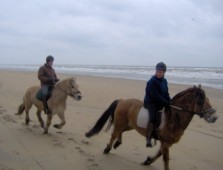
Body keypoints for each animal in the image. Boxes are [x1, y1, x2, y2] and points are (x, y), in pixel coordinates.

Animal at [86, 85, 218, 170]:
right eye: (201, 101)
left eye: (207, 99)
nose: (215, 117)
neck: (174, 117)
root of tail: (122, 100)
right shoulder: (165, 142)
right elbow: (165, 159)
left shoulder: (167, 143)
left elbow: (160, 154)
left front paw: (148, 161)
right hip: (120, 123)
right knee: (114, 134)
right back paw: (108, 148)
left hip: (130, 125)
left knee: (120, 132)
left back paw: (117, 143)